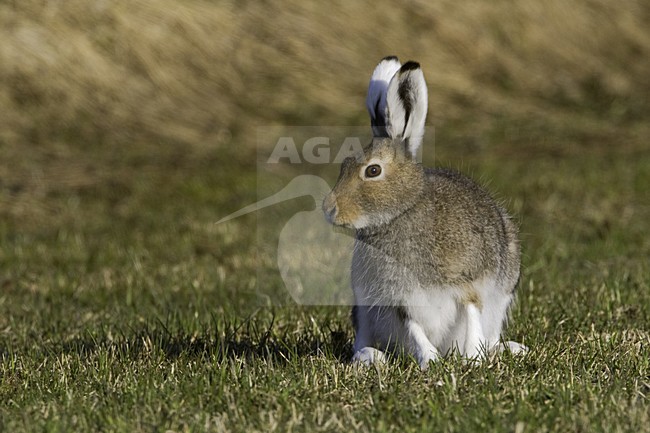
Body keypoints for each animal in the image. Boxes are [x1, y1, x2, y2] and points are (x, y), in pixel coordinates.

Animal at [322, 56, 527, 369]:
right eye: (344, 165)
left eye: (373, 170)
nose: (329, 209)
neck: (403, 211)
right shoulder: (400, 303)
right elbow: (415, 329)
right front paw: (430, 360)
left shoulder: (468, 283)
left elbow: (472, 314)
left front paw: (472, 359)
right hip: (364, 305)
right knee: (363, 338)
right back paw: (369, 357)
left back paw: (507, 349)